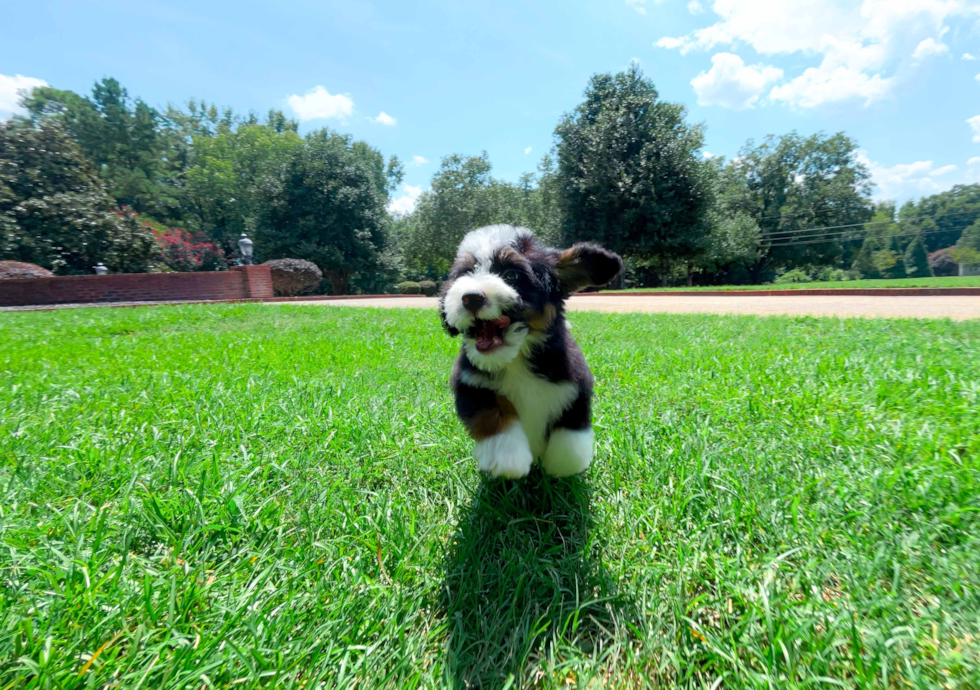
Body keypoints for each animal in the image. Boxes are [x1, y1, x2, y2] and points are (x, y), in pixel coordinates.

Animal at [440, 223, 624, 476]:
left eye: (511, 275)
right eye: (464, 274)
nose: (471, 297)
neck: (517, 357)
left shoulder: (577, 386)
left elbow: (571, 438)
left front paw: (560, 466)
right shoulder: (472, 385)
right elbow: (495, 418)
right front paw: (508, 461)